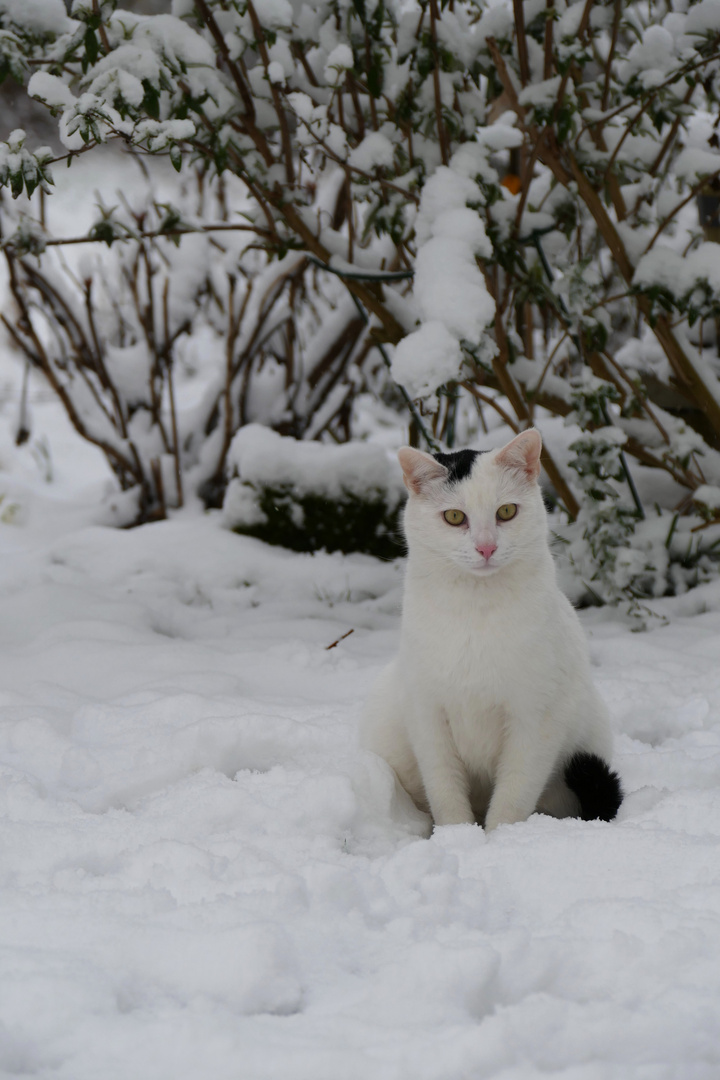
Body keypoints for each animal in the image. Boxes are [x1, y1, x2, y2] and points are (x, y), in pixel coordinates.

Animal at [362, 425, 621, 829]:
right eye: (454, 516)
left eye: (506, 512)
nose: (486, 547)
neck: (476, 612)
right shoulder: (427, 713)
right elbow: (445, 789)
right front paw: (458, 835)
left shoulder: (535, 717)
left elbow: (514, 794)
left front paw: (501, 839)